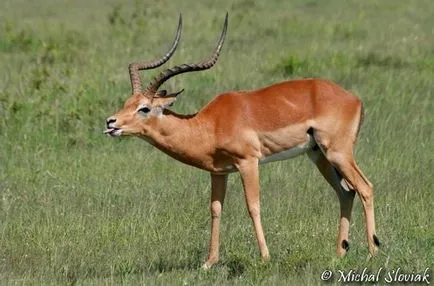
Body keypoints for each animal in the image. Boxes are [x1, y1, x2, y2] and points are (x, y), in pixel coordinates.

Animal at [105, 13, 380, 268]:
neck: (208, 124)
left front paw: (265, 258)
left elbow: (253, 206)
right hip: (318, 155)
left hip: (337, 152)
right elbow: (215, 209)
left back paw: (372, 252)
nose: (111, 122)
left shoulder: (248, 162)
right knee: (346, 193)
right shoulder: (218, 171)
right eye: (127, 102)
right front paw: (209, 262)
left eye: (144, 108)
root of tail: (354, 99)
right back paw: (339, 254)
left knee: (365, 187)